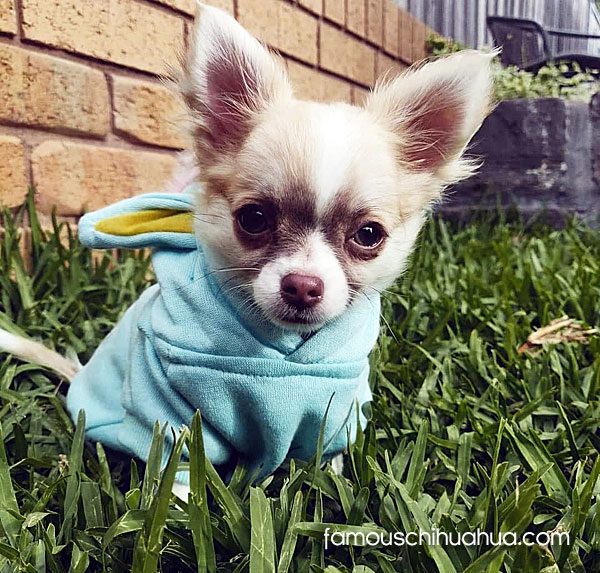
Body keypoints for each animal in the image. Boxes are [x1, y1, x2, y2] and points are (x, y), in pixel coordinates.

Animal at [0, 4, 494, 496]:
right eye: (253, 219)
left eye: (369, 234)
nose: (302, 286)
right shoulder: (170, 411)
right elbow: (179, 470)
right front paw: (178, 509)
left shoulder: (337, 409)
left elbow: (328, 458)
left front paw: (335, 486)